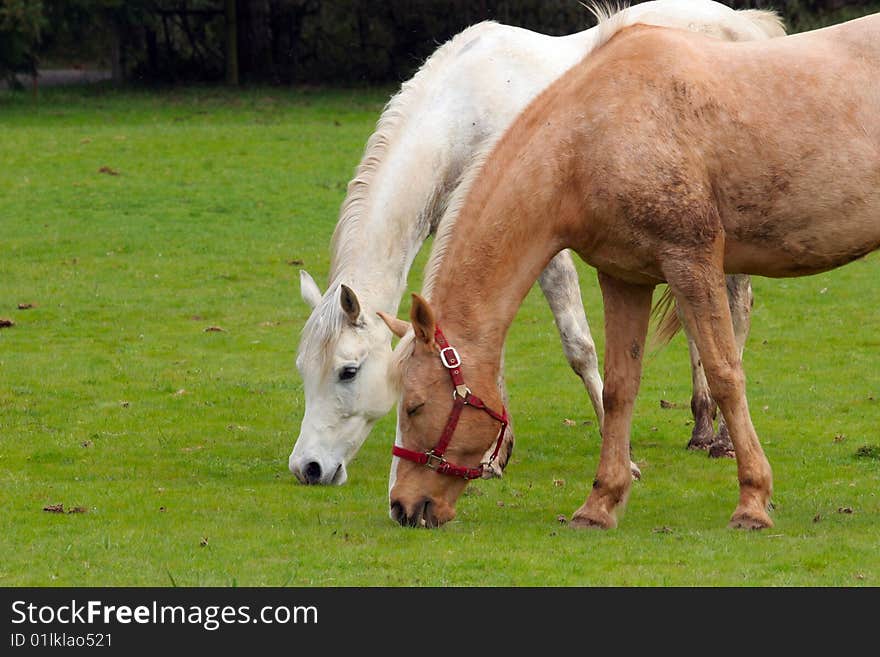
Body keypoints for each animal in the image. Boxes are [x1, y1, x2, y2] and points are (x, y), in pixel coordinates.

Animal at [288, 0, 784, 484]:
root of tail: (746, 23)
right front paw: (494, 455)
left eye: (348, 371)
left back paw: (722, 439)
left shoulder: (545, 250)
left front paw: (623, 458)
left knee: (737, 309)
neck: (464, 113)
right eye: (303, 370)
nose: (308, 468)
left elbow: (579, 346)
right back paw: (702, 427)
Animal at [380, 11, 880, 528]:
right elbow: (620, 387)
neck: (593, 137)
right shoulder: (625, 279)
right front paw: (600, 503)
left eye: (414, 406)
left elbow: (725, 374)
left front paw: (753, 501)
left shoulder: (690, 260)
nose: (402, 507)